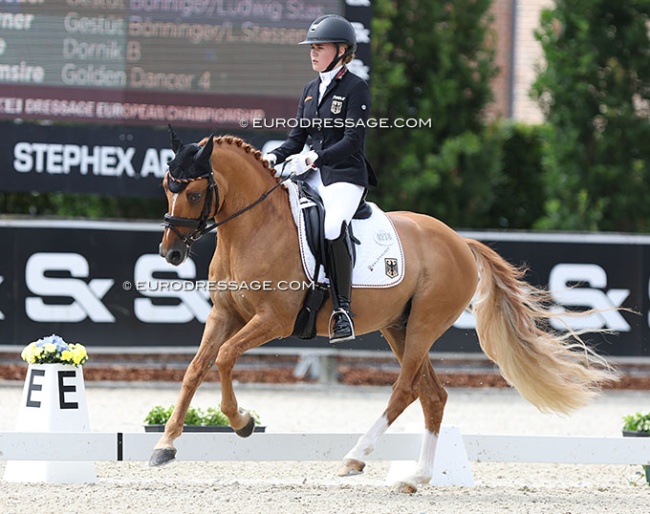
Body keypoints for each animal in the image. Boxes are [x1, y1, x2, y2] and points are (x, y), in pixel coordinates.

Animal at [149, 132, 616, 492]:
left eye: (194, 192)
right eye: (166, 188)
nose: (171, 254)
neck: (253, 228)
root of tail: (460, 241)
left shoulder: (273, 321)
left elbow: (226, 357)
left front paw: (242, 421)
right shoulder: (224, 315)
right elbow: (196, 368)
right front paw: (165, 446)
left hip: (425, 323)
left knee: (406, 390)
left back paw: (355, 457)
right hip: (399, 326)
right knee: (433, 395)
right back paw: (417, 478)